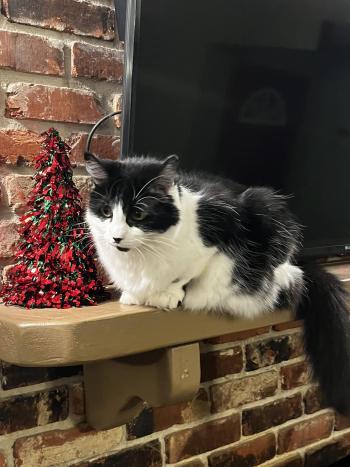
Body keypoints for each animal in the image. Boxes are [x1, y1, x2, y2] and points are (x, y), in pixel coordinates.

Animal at [84, 152, 350, 414]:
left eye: (138, 214)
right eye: (106, 212)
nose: (116, 237)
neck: (140, 258)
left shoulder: (218, 232)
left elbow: (191, 272)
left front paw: (169, 294)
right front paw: (132, 295)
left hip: (268, 206)